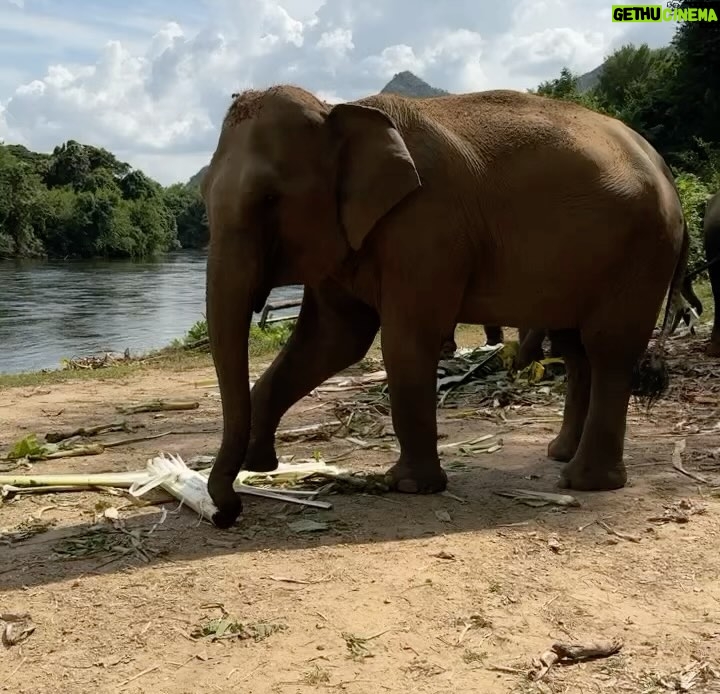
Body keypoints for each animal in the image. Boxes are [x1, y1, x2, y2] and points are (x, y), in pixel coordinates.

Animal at [201, 84, 688, 528]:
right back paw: (559, 455)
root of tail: (664, 167)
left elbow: (404, 342)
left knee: (609, 350)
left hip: (640, 252)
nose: (226, 513)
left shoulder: (427, 229)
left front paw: (408, 485)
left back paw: (584, 482)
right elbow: (329, 341)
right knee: (575, 350)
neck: (339, 107)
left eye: (269, 198)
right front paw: (259, 464)